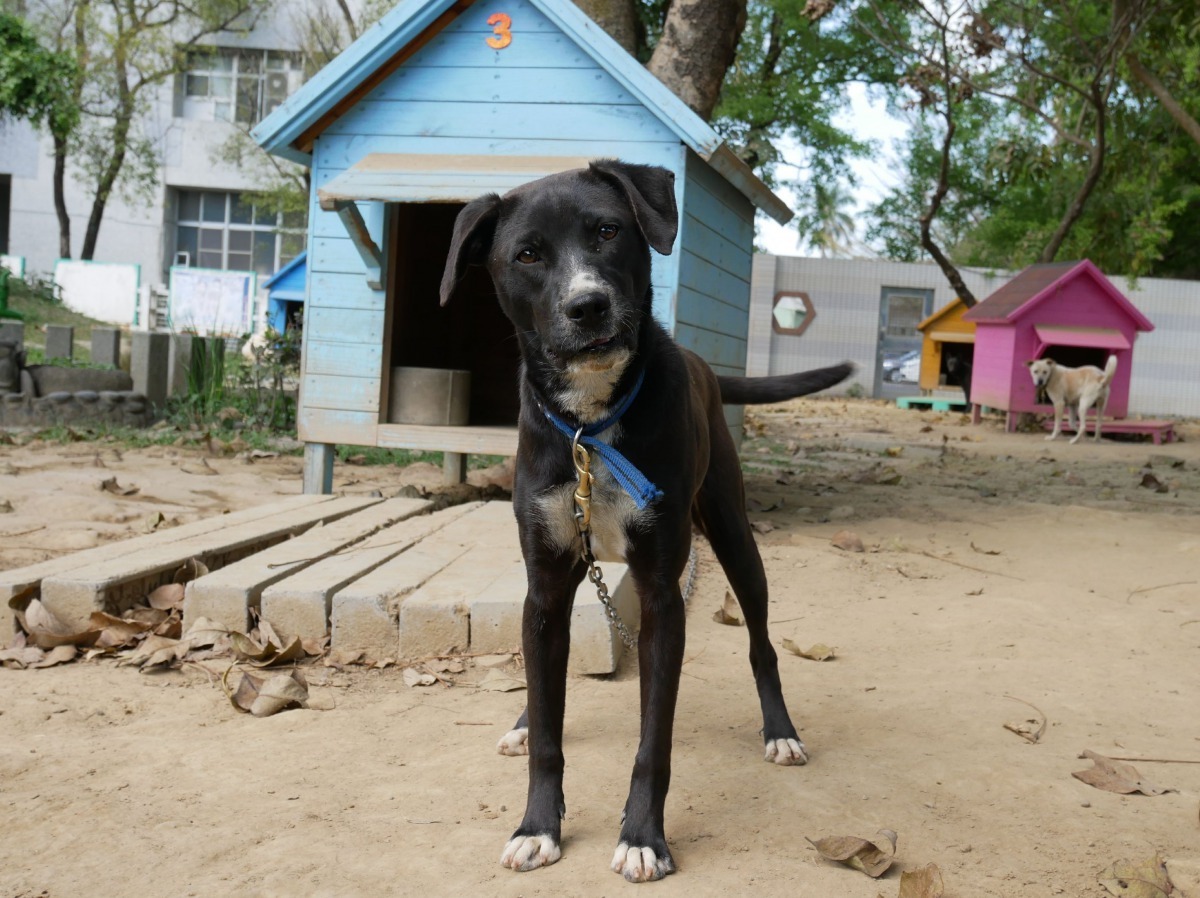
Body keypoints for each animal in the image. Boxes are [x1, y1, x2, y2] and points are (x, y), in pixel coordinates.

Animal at [441, 157, 854, 878]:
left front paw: (642, 837)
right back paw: (522, 720)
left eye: (608, 231)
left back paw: (780, 732)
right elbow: (549, 725)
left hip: (736, 539)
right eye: (527, 254)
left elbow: (652, 740)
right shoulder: (545, 585)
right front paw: (537, 824)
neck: (590, 425)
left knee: (762, 644)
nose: (588, 305)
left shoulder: (663, 594)